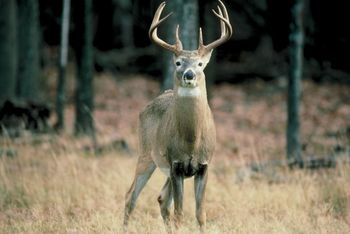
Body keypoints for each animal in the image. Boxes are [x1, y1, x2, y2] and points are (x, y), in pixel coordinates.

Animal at [123, 0, 232, 232]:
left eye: (200, 64)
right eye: (178, 63)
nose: (189, 75)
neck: (191, 141)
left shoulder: (204, 165)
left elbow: (200, 213)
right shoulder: (176, 165)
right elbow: (180, 213)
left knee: (162, 198)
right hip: (146, 154)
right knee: (131, 196)